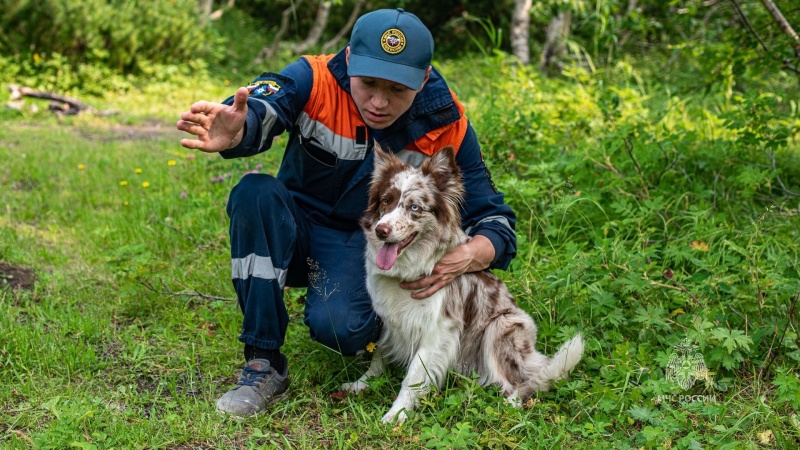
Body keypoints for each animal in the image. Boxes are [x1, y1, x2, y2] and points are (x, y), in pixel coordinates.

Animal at [340, 146, 584, 424]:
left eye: (414, 207)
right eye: (385, 201)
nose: (381, 230)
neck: (409, 267)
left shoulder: (438, 328)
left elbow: (413, 376)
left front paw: (397, 413)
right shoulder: (388, 316)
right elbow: (379, 353)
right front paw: (363, 383)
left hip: (499, 328)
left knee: (520, 384)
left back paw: (507, 408)